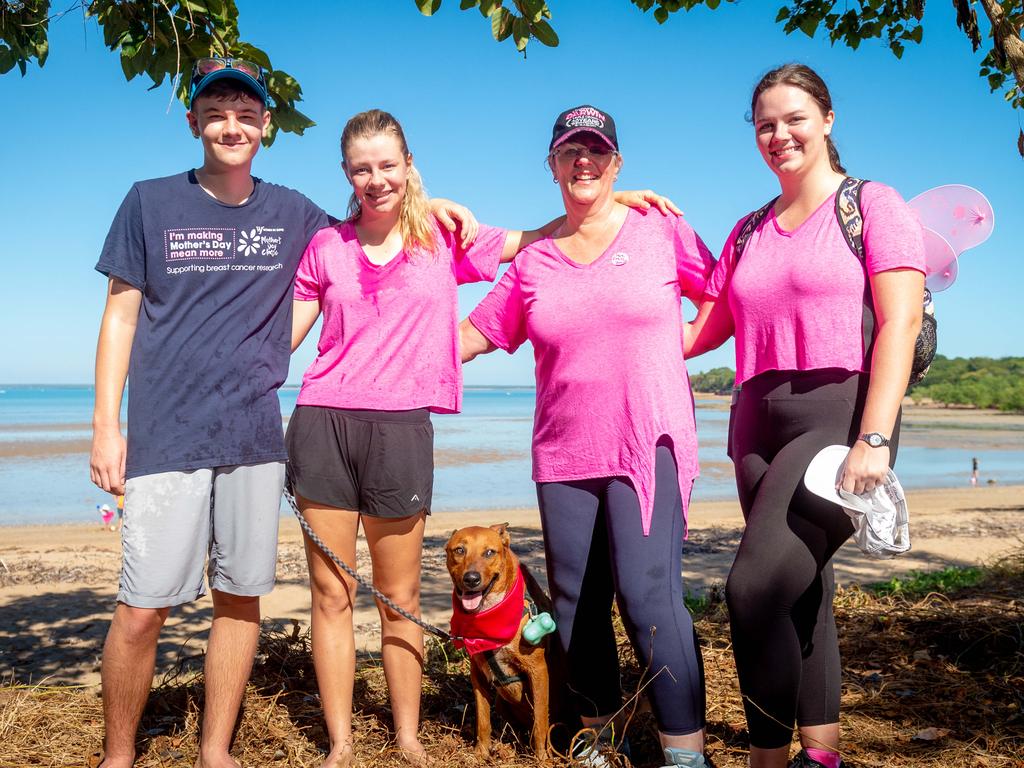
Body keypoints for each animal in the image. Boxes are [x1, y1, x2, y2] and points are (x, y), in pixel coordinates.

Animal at [448, 528, 561, 761]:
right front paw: (480, 754)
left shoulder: (538, 671)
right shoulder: (477, 674)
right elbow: (482, 720)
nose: (471, 579)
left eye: (490, 552)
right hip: (501, 703)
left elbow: (540, 721)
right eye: (459, 550)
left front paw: (542, 759)